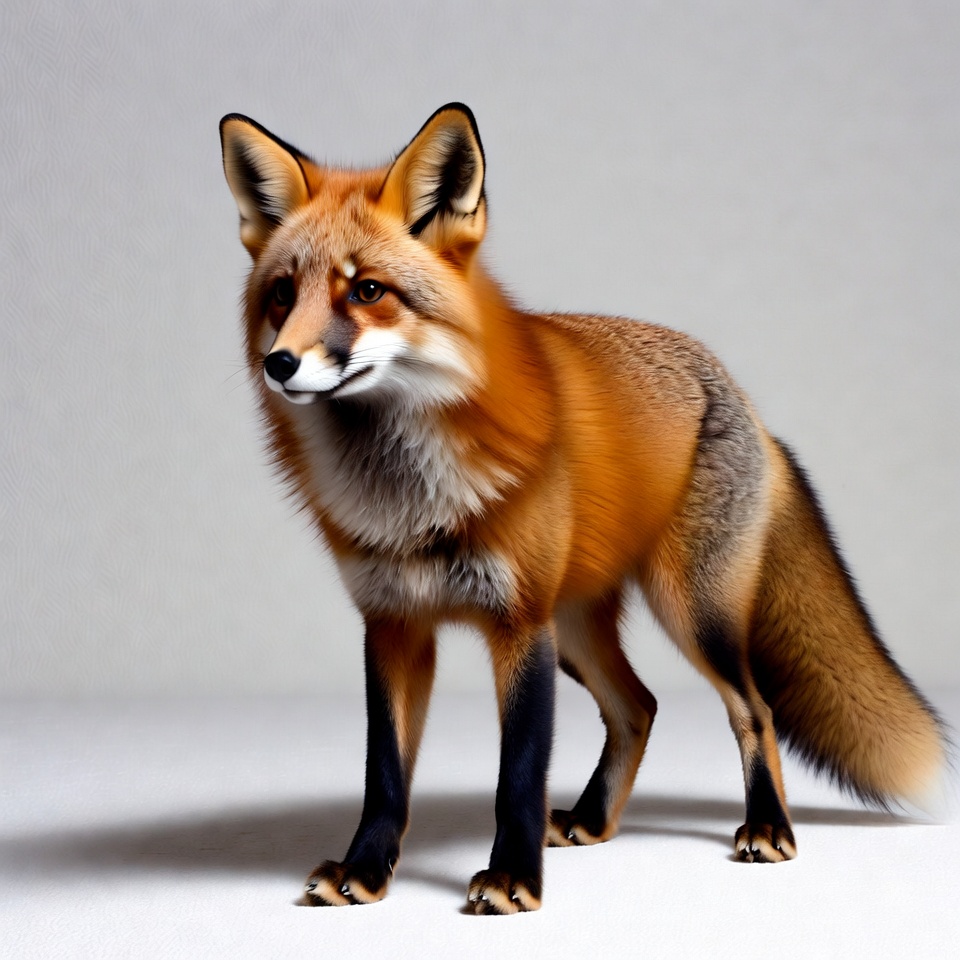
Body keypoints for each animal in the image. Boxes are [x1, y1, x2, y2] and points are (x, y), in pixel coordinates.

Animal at [219, 103, 946, 914]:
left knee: (751, 710)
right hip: (576, 630)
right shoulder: (393, 625)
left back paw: (767, 828)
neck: (410, 503)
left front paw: (512, 879)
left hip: (687, 614)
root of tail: (744, 401)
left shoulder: (518, 625)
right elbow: (385, 775)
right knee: (639, 706)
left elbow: (518, 776)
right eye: (283, 294)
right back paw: (597, 821)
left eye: (368, 291)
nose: (280, 363)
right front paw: (368, 872)